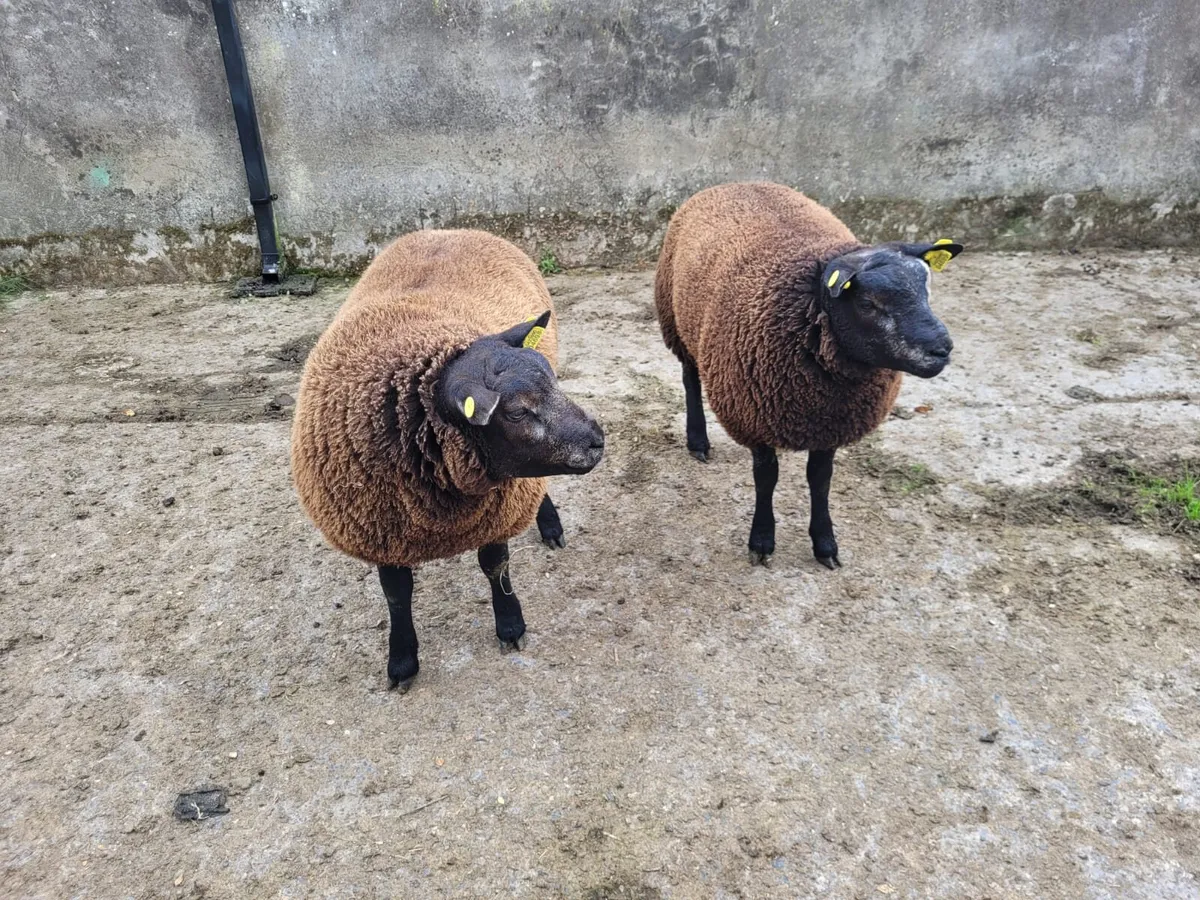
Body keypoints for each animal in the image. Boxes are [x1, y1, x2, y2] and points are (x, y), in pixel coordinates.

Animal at [291, 229, 605, 691]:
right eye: (516, 412)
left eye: (551, 382)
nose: (598, 440)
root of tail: (448, 230)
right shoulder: (381, 530)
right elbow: (396, 595)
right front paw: (402, 661)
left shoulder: (496, 507)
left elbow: (496, 567)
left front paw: (510, 625)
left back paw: (549, 524)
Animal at [654, 182, 962, 568]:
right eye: (868, 304)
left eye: (926, 291)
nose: (941, 349)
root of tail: (732, 183)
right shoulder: (752, 415)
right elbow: (766, 478)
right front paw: (762, 540)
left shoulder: (830, 424)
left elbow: (820, 480)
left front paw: (825, 544)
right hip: (676, 322)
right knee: (690, 379)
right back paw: (698, 440)